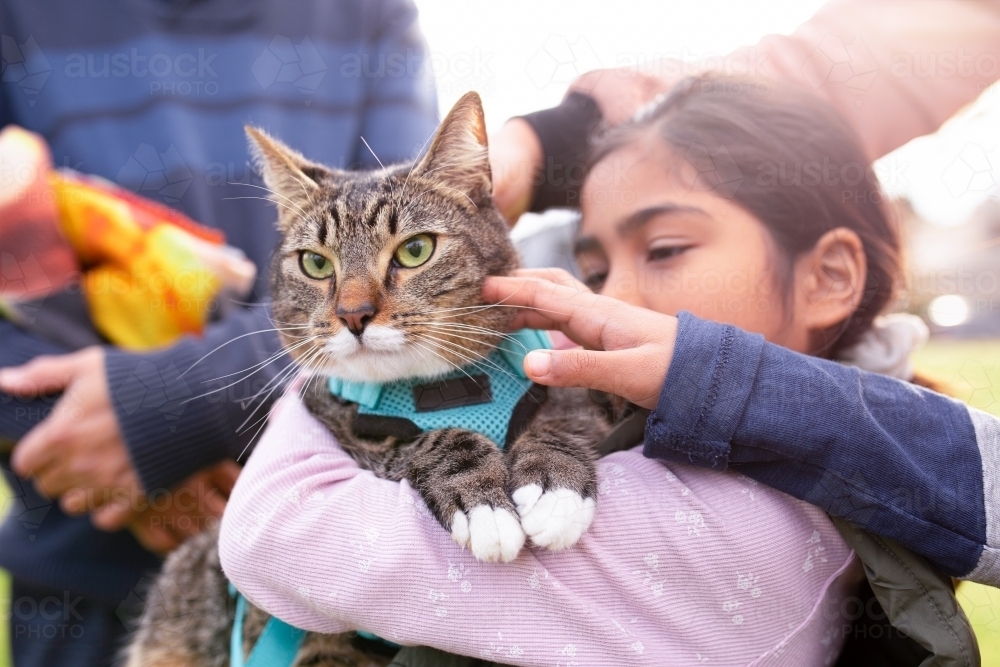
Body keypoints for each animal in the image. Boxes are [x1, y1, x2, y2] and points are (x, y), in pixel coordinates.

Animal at [125, 90, 608, 667]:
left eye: (415, 250)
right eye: (315, 263)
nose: (353, 314)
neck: (444, 392)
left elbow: (566, 414)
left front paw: (555, 487)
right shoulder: (348, 429)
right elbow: (427, 443)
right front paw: (484, 504)